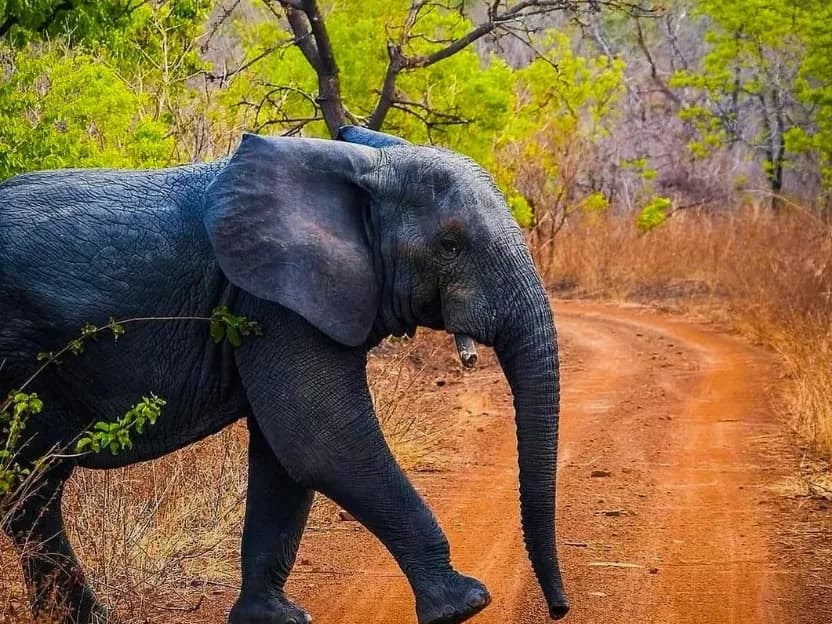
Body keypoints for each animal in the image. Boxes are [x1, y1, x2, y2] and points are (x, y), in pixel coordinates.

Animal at [0, 126, 569, 624]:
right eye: (450, 245)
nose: (559, 609)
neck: (365, 168)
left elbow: (284, 460)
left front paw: (273, 618)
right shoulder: (274, 301)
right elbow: (323, 440)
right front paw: (465, 604)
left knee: (34, 492)